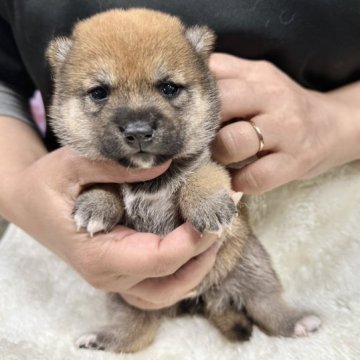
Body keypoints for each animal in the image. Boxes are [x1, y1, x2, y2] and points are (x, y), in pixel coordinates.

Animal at [47, 7, 320, 352]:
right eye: (99, 93)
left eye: (168, 88)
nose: (138, 131)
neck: (148, 179)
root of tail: (198, 301)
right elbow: (102, 180)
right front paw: (95, 205)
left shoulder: (213, 161)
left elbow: (201, 176)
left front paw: (208, 206)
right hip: (124, 299)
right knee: (136, 331)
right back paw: (102, 339)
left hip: (251, 265)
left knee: (266, 305)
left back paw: (298, 322)